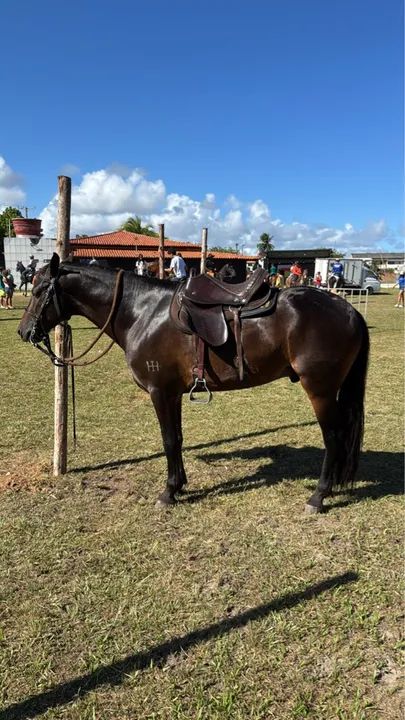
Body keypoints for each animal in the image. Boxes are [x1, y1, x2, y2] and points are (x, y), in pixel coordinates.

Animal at [18, 254, 369, 513]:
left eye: (38, 292)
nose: (24, 332)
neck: (142, 312)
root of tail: (349, 310)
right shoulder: (172, 393)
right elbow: (178, 438)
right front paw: (179, 485)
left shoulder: (159, 392)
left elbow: (168, 440)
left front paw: (168, 492)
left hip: (320, 391)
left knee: (334, 438)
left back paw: (318, 496)